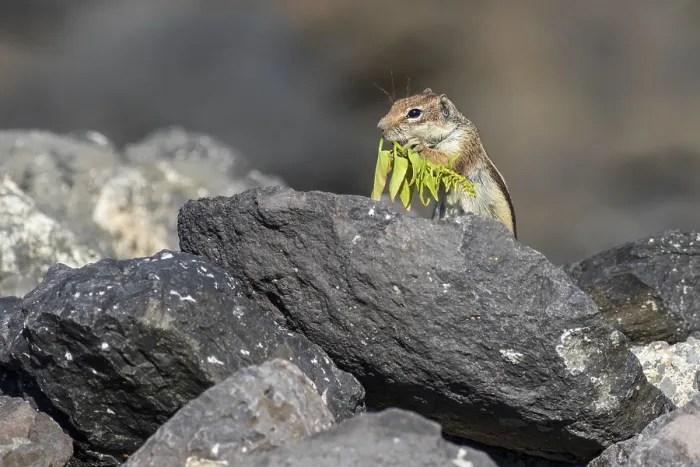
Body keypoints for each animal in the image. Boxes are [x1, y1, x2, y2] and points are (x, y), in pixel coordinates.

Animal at [377, 88, 517, 238]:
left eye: (414, 113)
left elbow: (445, 161)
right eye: (396, 103)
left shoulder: (463, 144)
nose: (380, 127)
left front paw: (418, 146)